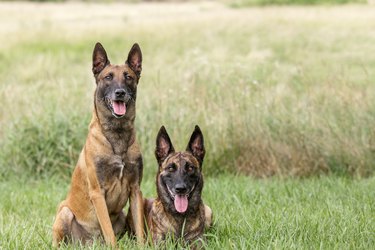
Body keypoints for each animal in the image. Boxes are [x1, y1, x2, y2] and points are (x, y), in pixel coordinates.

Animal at [53, 42, 145, 246]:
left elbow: (140, 230)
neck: (117, 134)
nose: (120, 93)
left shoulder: (136, 190)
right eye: (108, 77)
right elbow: (109, 233)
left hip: (121, 215)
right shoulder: (97, 193)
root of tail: (89, 242)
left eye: (128, 77)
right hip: (64, 211)